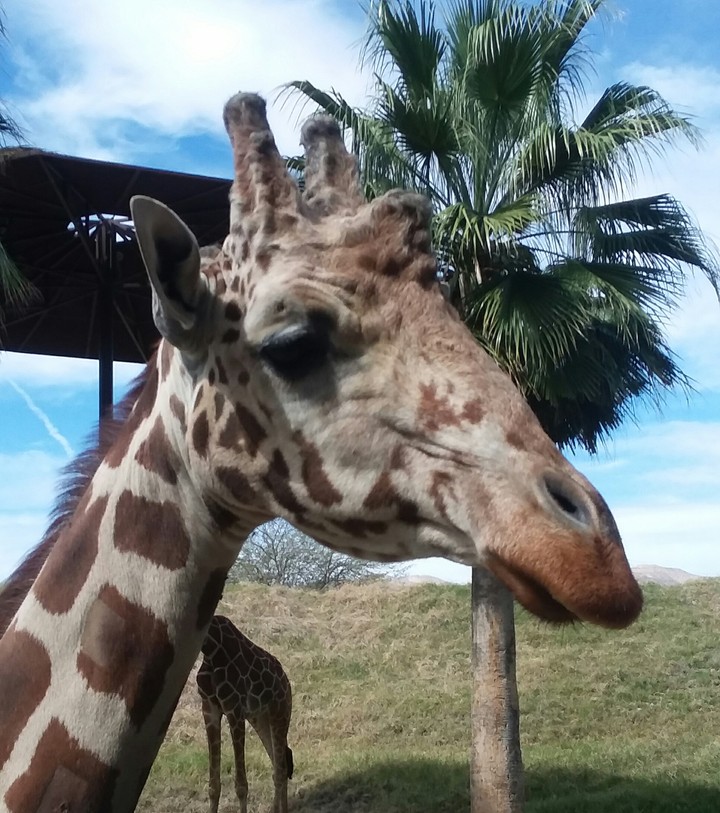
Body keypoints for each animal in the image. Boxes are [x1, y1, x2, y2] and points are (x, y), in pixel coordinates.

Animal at [196, 615, 293, 813]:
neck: (210, 650)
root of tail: (286, 682)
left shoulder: (235, 710)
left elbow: (241, 786)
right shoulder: (209, 709)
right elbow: (213, 786)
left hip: (280, 714)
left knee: (281, 769)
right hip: (260, 719)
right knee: (279, 764)